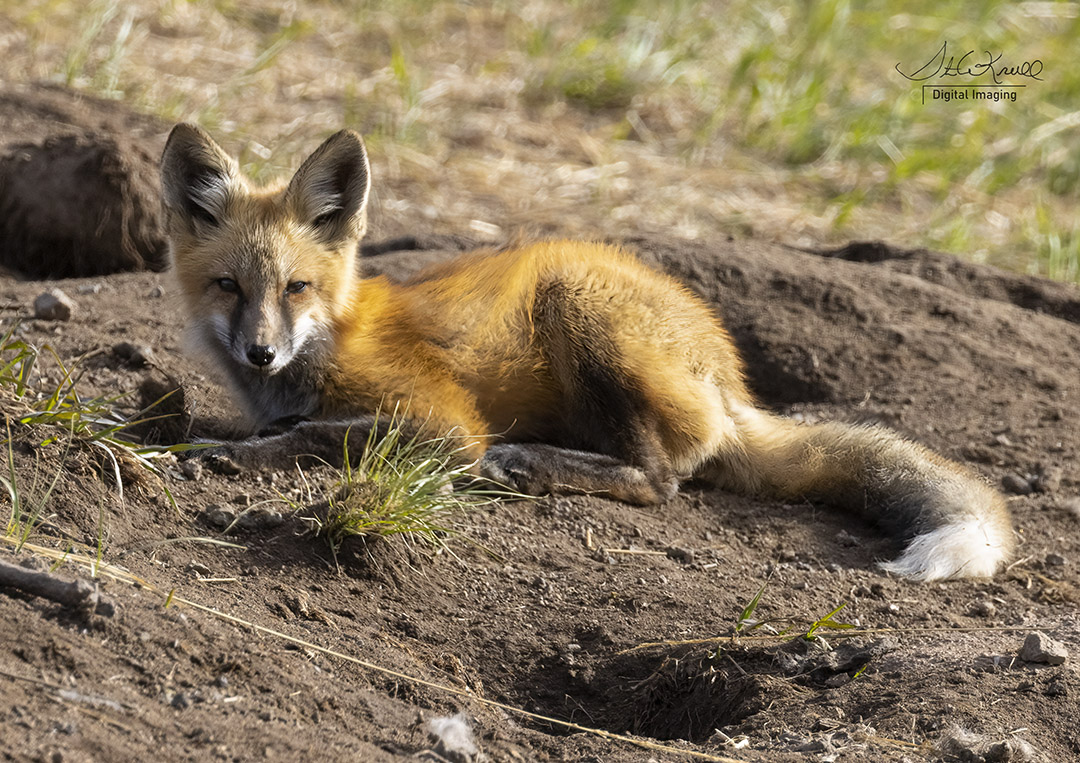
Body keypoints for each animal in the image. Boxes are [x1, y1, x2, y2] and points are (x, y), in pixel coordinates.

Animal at [160, 123, 1014, 582]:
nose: (261, 353)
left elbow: (314, 437)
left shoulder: (444, 421)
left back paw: (533, 465)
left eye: (296, 286)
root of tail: (731, 378)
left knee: (661, 481)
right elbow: (293, 427)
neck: (330, 337)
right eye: (230, 286)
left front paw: (227, 455)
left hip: (576, 305)